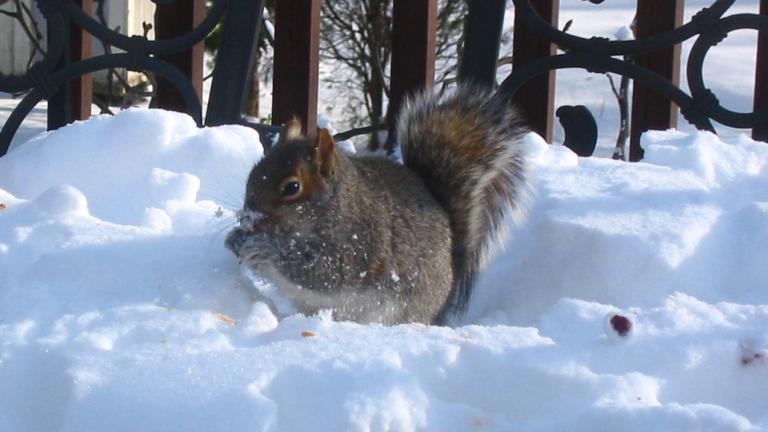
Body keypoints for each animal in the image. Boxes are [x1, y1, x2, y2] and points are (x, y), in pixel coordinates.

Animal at [225, 86, 528, 325]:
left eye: (291, 188)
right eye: (253, 173)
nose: (248, 218)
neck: (338, 207)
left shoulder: (359, 243)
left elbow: (324, 272)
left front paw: (264, 248)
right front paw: (234, 239)